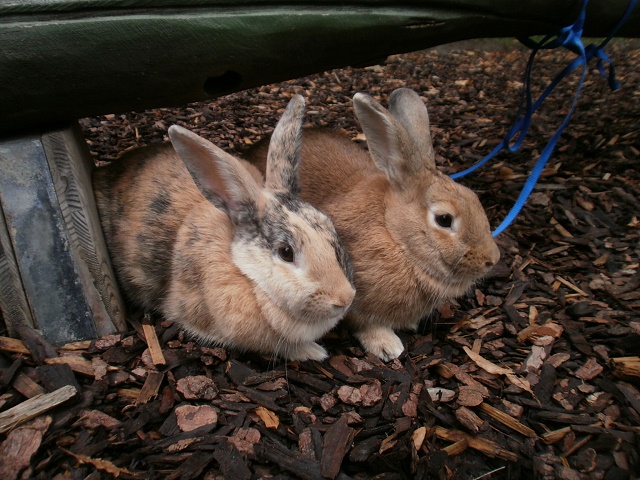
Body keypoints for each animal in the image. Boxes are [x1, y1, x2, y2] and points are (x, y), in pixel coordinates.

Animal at [245, 89, 500, 360]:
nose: (492, 260)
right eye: (444, 219)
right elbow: (367, 324)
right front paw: (387, 346)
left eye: (475, 198)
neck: (395, 235)